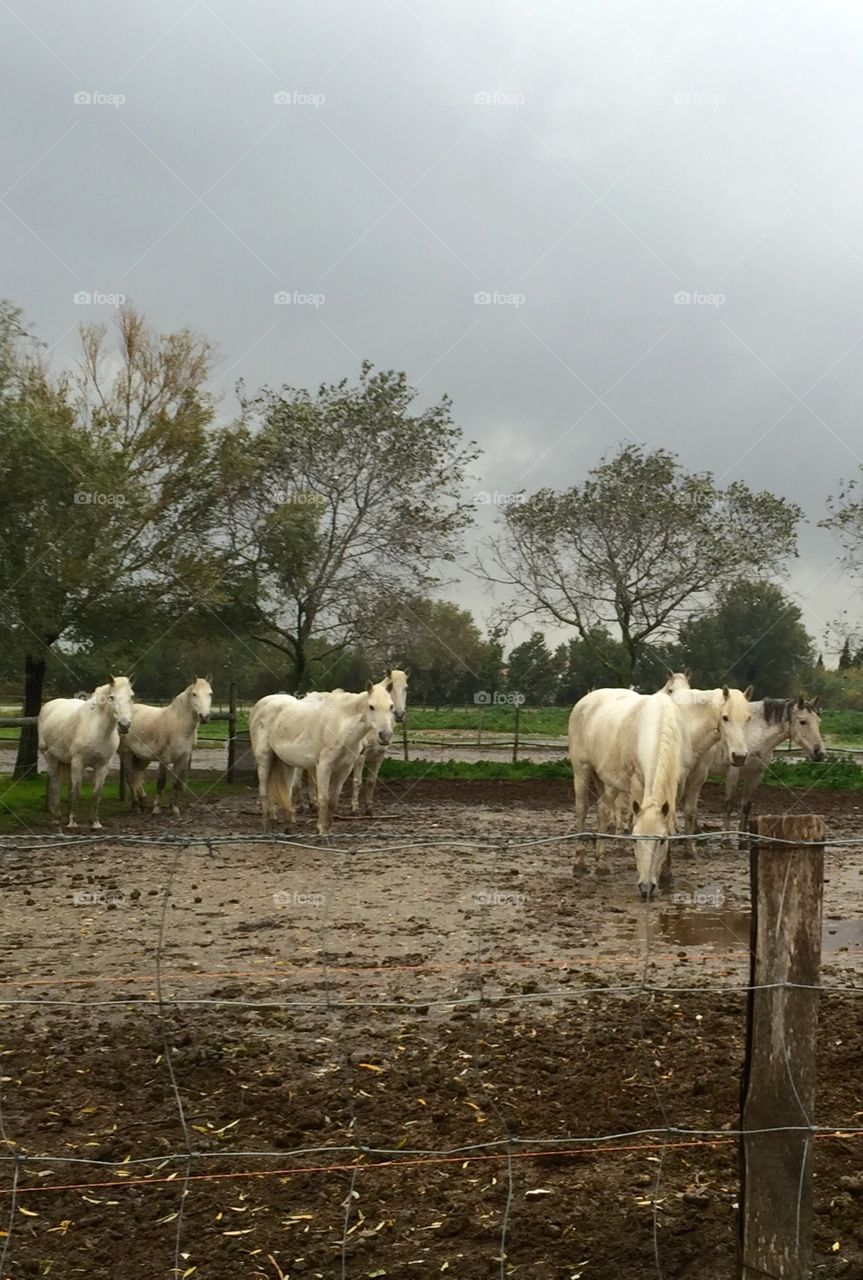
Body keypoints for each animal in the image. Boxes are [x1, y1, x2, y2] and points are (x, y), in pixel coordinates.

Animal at [37, 675, 135, 830]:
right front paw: (73, 823)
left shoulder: (103, 766)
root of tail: (48, 706)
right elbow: (76, 791)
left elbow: (96, 794)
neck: (98, 729)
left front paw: (95, 823)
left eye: (131, 696)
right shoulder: (79, 762)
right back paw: (57, 818)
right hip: (51, 758)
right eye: (112, 697)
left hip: (66, 762)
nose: (124, 725)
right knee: (55, 785)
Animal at [120, 677, 213, 815]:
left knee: (138, 776)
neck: (178, 726)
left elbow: (176, 783)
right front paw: (156, 808)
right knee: (130, 777)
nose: (204, 716)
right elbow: (161, 782)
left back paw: (142, 802)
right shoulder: (163, 759)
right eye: (194, 694)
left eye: (210, 693)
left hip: (141, 758)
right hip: (126, 753)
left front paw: (174, 808)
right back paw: (136, 806)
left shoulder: (183, 758)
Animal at [250, 682, 394, 835]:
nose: (385, 736)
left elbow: (333, 801)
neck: (340, 725)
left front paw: (327, 830)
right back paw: (267, 826)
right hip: (264, 758)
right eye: (371, 706)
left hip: (285, 763)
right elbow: (324, 798)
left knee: (287, 792)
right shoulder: (324, 766)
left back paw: (288, 827)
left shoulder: (344, 769)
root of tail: (261, 704)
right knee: (264, 791)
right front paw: (321, 831)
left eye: (391, 706)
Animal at [568, 688, 683, 897]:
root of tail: (587, 699)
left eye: (662, 841)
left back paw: (601, 864)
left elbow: (669, 823)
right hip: (581, 771)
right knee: (581, 811)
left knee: (603, 811)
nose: (646, 887)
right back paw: (579, 864)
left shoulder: (674, 783)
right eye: (635, 840)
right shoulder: (636, 783)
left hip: (604, 779)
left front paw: (667, 876)